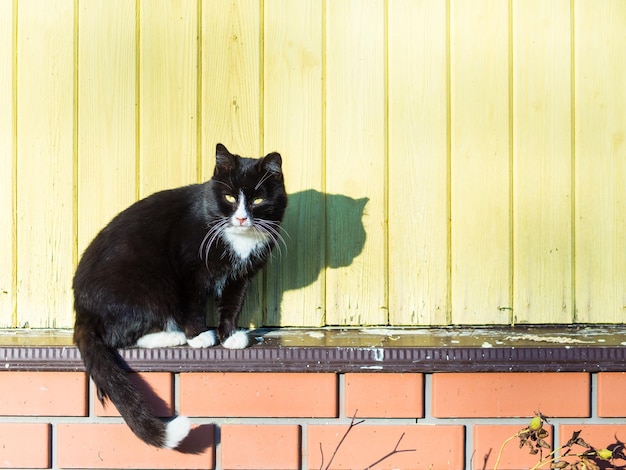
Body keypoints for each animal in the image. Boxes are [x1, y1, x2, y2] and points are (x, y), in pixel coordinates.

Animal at [73, 143, 288, 448]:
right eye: (229, 196)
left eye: (257, 199)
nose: (241, 218)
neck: (239, 240)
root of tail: (82, 310)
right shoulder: (189, 269)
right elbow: (194, 302)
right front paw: (198, 336)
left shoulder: (240, 277)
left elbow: (232, 304)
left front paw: (229, 336)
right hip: (149, 286)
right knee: (118, 336)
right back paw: (172, 335)